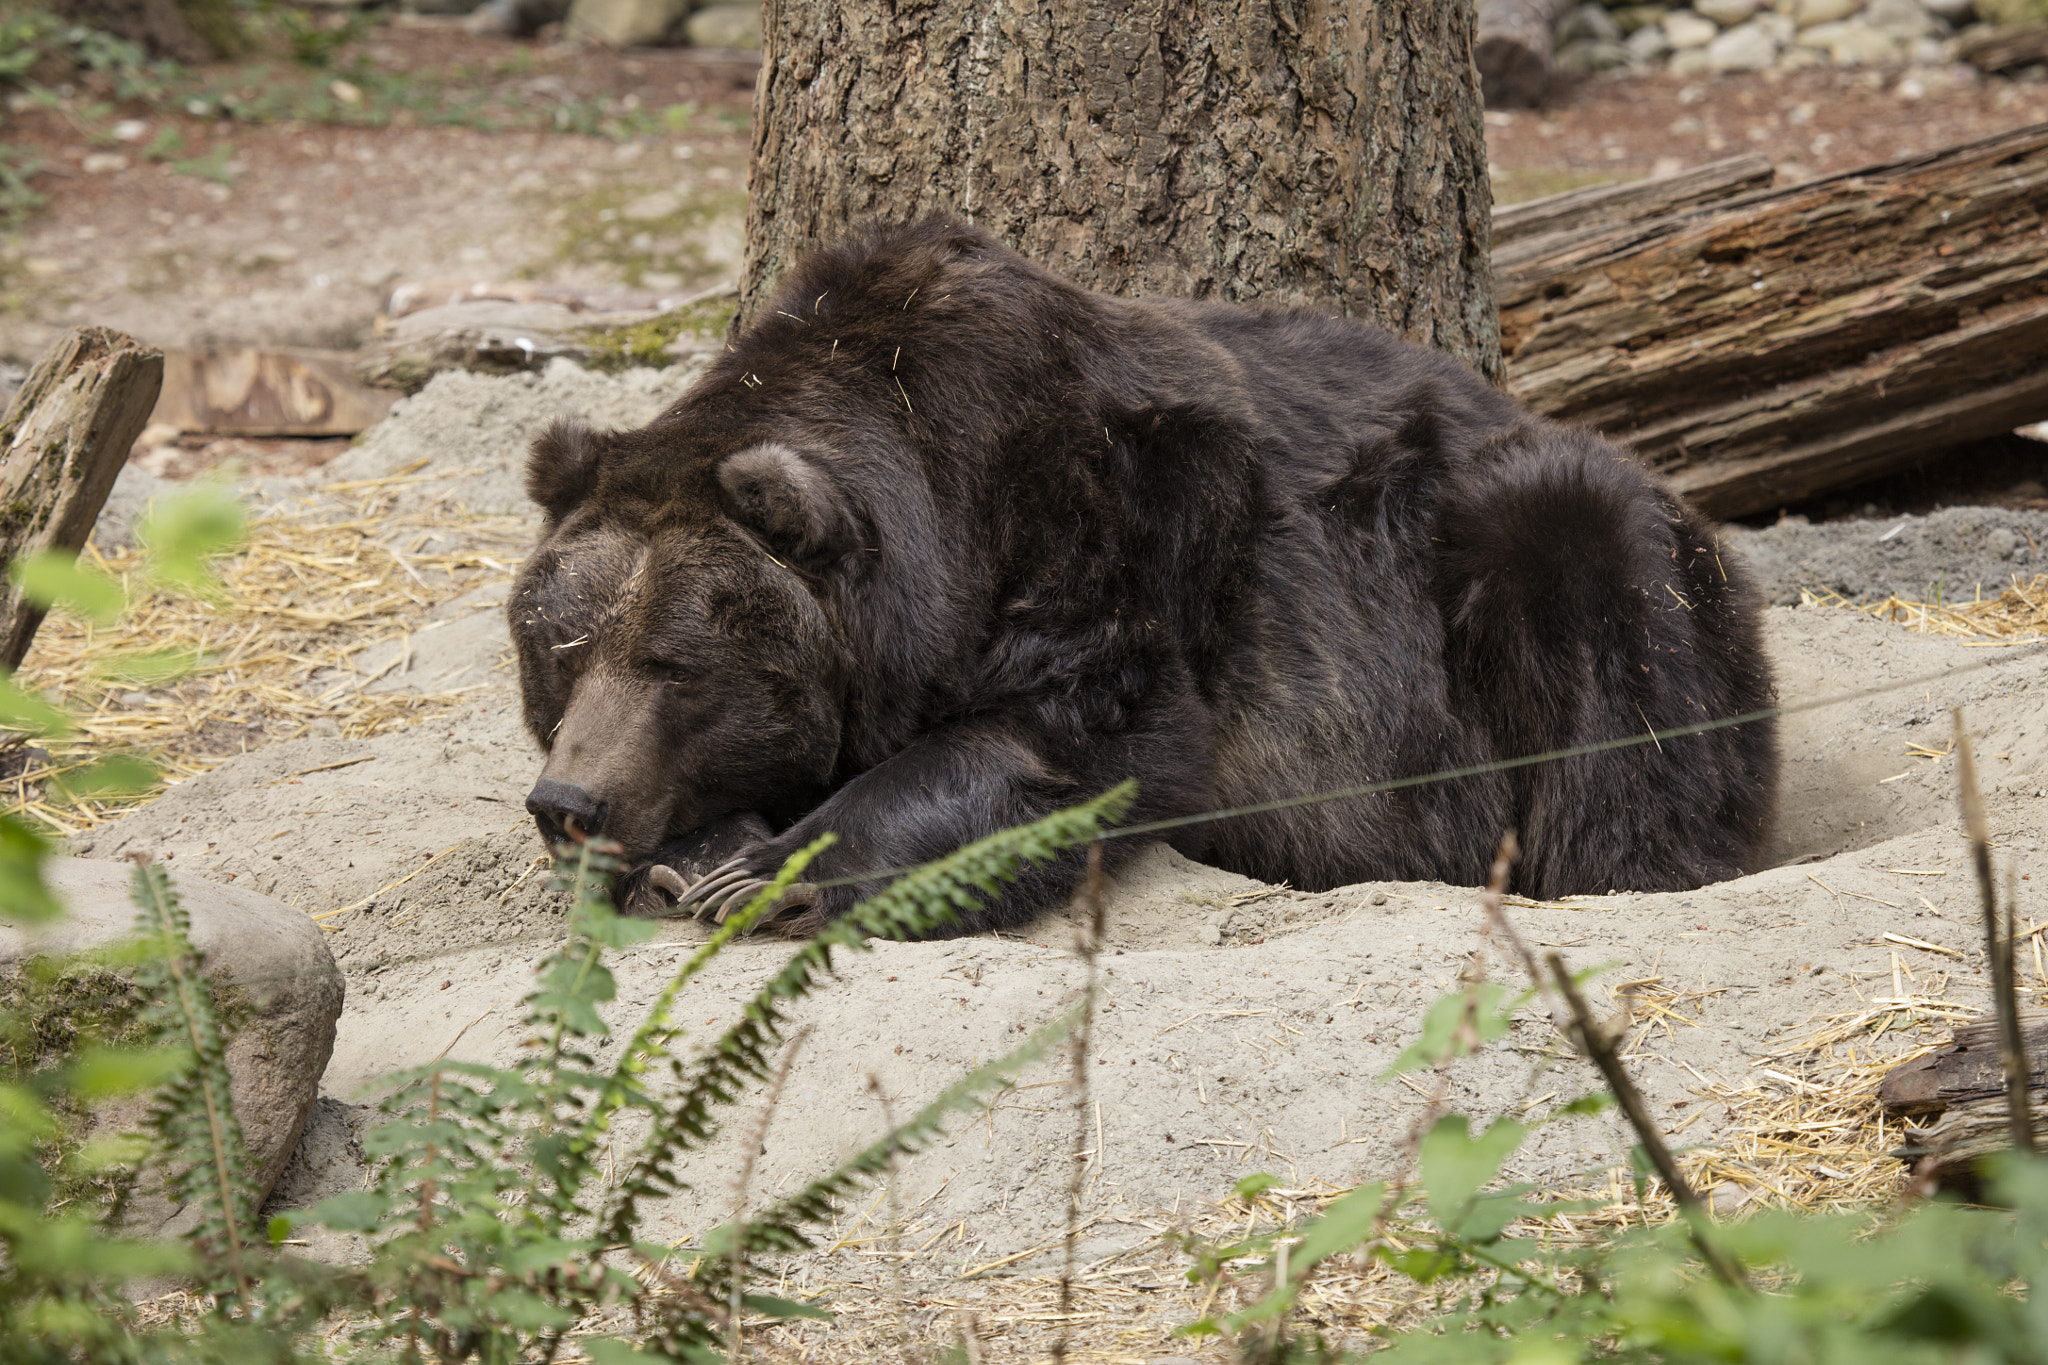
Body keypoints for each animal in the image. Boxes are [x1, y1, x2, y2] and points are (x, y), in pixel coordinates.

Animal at [509, 218, 1779, 935]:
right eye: (559, 650)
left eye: (677, 661)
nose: (568, 802)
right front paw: (696, 853)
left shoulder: (1113, 541)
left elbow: (1058, 743)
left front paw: (771, 872)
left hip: (1529, 565)